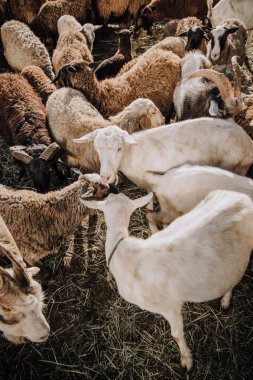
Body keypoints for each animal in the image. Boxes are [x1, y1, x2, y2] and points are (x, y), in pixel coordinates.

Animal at [73, 117, 253, 189]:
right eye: (97, 149)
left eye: (119, 148)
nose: (105, 177)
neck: (131, 153)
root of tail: (247, 140)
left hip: (237, 166)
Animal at [80, 190, 253, 372]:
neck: (122, 252)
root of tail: (242, 198)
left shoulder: (169, 306)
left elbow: (176, 335)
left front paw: (186, 360)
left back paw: (225, 300)